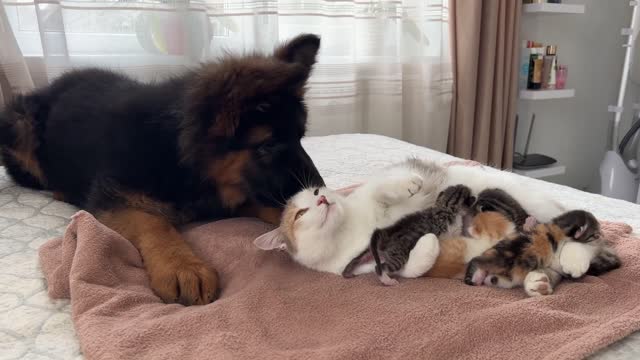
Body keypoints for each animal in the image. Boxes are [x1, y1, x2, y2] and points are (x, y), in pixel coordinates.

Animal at [0, 33, 324, 306]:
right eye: (268, 145)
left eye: (300, 137)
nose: (321, 189)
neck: (177, 152)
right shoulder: (113, 196)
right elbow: (152, 222)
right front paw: (182, 265)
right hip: (19, 128)